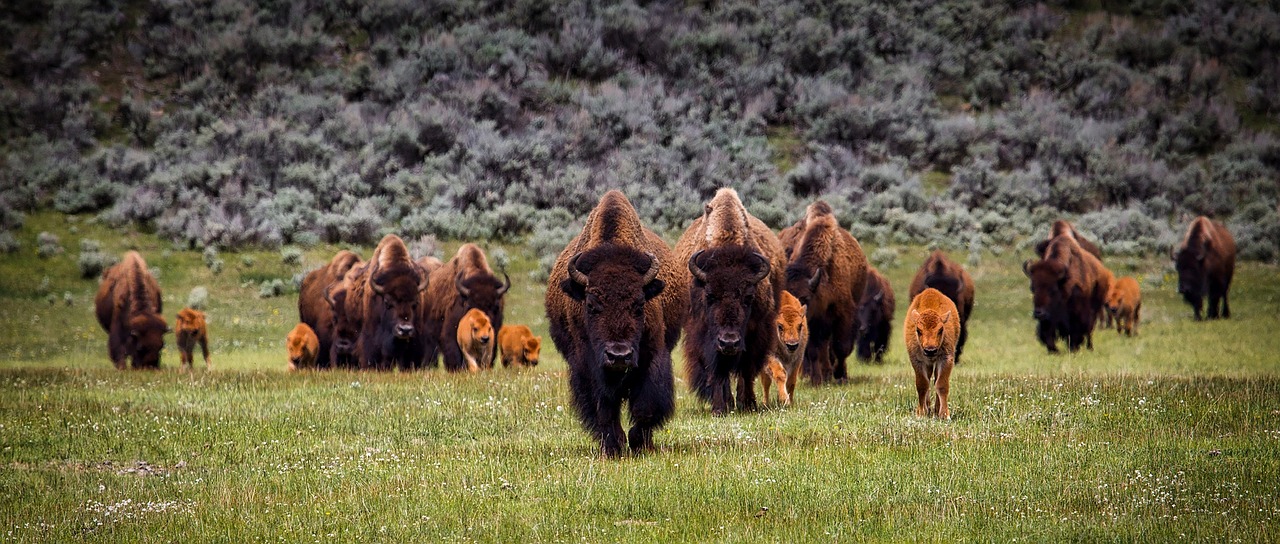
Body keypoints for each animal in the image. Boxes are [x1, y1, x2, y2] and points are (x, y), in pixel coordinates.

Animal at [545, 190, 689, 457]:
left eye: (639, 304)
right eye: (591, 305)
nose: (619, 356)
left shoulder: (652, 356)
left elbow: (646, 406)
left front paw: (639, 443)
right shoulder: (588, 365)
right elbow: (603, 409)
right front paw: (614, 446)